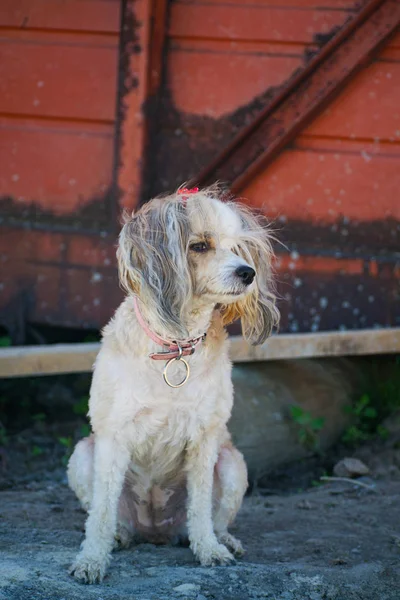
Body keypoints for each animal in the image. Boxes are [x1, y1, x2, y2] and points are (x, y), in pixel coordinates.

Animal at [67, 186, 278, 580]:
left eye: (238, 247)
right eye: (199, 245)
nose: (248, 273)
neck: (175, 345)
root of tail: (156, 532)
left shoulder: (206, 439)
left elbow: (201, 506)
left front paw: (208, 548)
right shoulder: (112, 436)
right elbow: (100, 513)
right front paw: (91, 560)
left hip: (232, 464)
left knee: (214, 518)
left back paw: (221, 539)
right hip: (83, 456)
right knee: (110, 515)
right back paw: (120, 536)